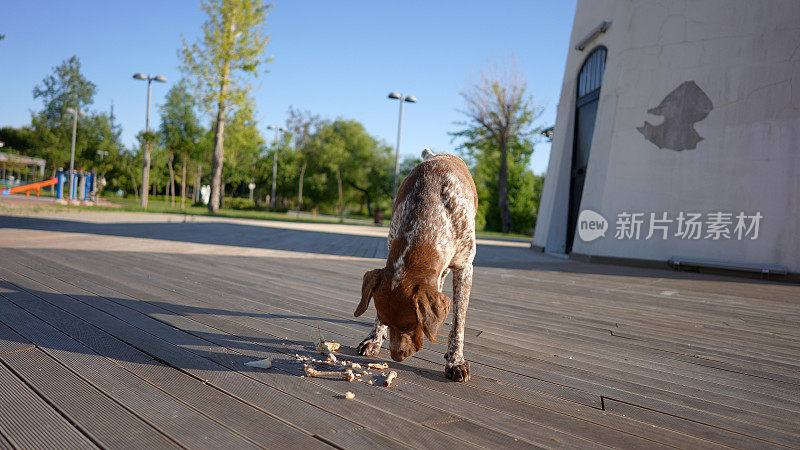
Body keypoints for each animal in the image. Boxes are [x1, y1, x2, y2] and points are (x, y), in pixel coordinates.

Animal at [354, 149, 476, 382]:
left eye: (411, 325)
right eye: (387, 321)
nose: (397, 357)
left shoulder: (465, 268)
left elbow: (459, 322)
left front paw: (455, 360)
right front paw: (374, 338)